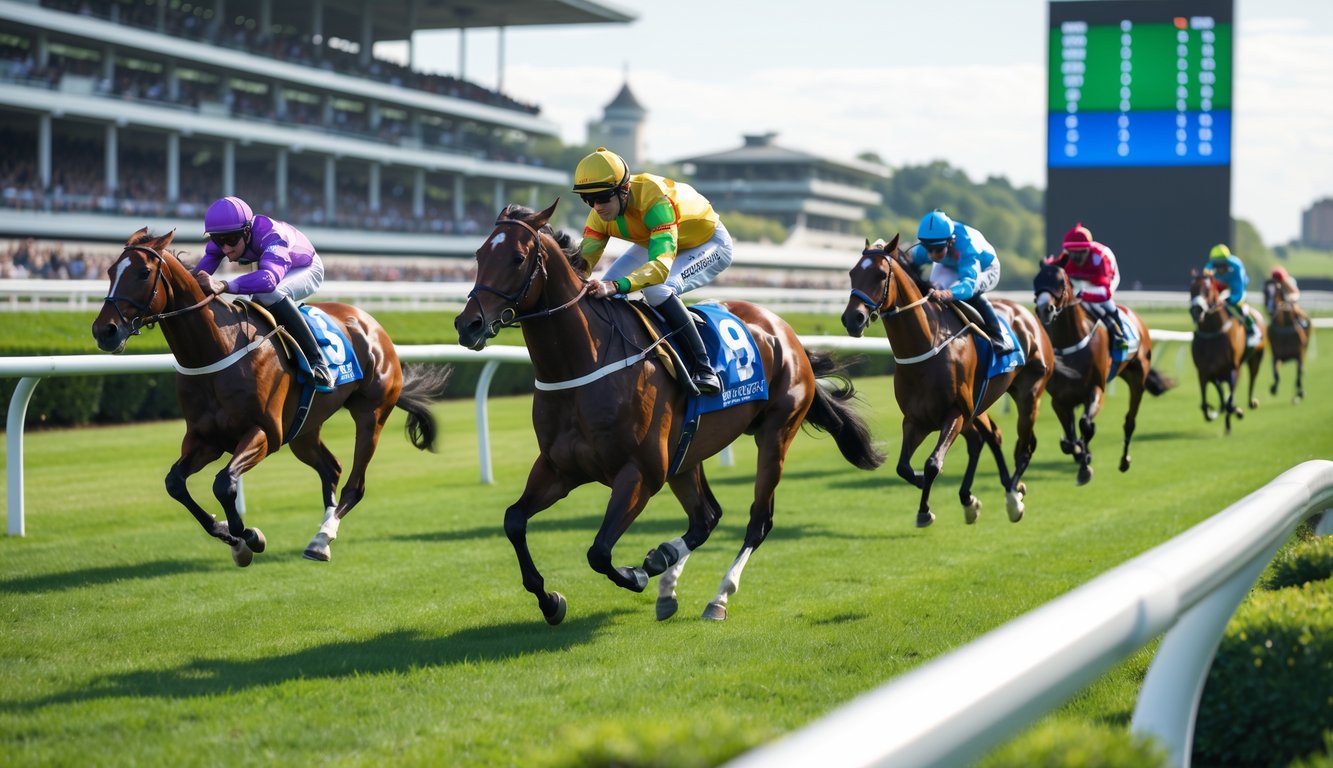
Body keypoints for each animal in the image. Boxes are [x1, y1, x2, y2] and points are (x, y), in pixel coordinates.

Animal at [91, 228, 451, 565]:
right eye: (109, 271)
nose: (103, 331)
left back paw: (323, 538)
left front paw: (247, 536)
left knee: (355, 483)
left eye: (142, 273)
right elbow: (175, 483)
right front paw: (230, 536)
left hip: (371, 414)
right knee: (331, 468)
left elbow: (224, 483)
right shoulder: (205, 438)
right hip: (304, 429)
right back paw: (321, 535)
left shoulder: (265, 432)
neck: (218, 348)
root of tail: (371, 324)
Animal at [453, 202, 885, 624]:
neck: (583, 362)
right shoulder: (559, 468)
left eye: (517, 258)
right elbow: (513, 521)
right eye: (478, 254)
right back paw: (667, 578)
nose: (467, 324)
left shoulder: (640, 473)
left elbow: (599, 552)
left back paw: (715, 597)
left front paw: (636, 574)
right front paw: (550, 600)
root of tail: (786, 331)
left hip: (775, 434)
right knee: (706, 516)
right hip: (687, 451)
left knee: (757, 521)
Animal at [841, 236, 1053, 528]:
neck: (927, 346)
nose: (853, 318)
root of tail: (1029, 315)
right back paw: (973, 497)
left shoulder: (955, 413)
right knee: (988, 437)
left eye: (881, 275)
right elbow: (903, 467)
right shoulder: (916, 419)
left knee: (1024, 445)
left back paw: (1013, 497)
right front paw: (926, 486)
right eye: (852, 273)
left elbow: (933, 463)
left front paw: (924, 510)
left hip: (1028, 393)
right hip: (980, 404)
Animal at [1032, 262, 1174, 485]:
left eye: (1060, 281)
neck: (1071, 341)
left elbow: (1085, 425)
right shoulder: (1060, 399)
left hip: (1137, 378)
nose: (1044, 309)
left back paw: (1124, 460)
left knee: (1129, 421)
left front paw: (1084, 467)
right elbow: (1071, 435)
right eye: (1036, 281)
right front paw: (1077, 450)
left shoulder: (1095, 389)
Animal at [1188, 270, 1267, 434]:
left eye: (1207, 290)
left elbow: (1230, 402)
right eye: (1191, 289)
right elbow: (1205, 405)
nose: (1196, 311)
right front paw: (1213, 411)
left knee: (1252, 379)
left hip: (1256, 358)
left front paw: (1232, 418)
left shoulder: (1233, 368)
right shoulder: (1204, 372)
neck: (1213, 332)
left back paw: (1251, 402)